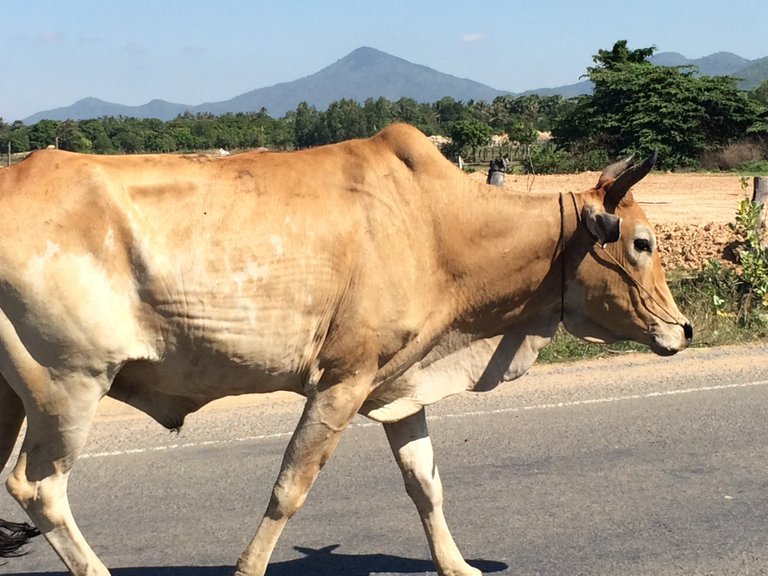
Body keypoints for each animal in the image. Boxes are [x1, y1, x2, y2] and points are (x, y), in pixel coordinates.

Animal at [0, 125, 692, 576]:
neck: (436, 226)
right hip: (69, 386)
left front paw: (458, 566)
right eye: (642, 243)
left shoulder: (399, 385)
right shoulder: (342, 379)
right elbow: (290, 488)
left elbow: (426, 484)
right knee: (39, 488)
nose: (682, 330)